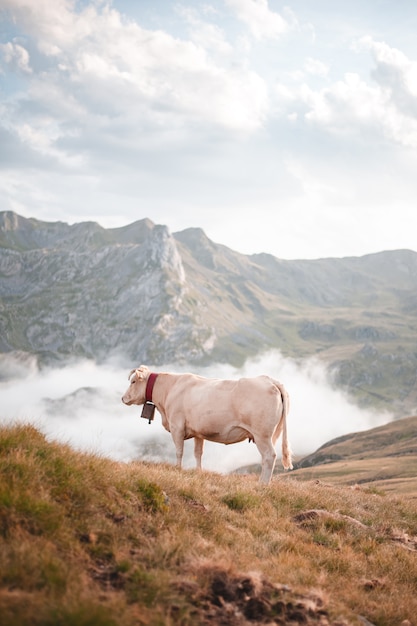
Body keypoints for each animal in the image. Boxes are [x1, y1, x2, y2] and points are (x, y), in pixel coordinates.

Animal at [121, 364, 292, 480]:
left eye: (133, 381)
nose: (123, 398)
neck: (168, 390)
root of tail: (269, 380)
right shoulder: (198, 432)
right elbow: (198, 453)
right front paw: (198, 472)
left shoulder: (177, 426)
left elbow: (179, 451)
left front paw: (178, 469)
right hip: (268, 435)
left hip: (262, 434)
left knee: (269, 456)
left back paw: (262, 485)